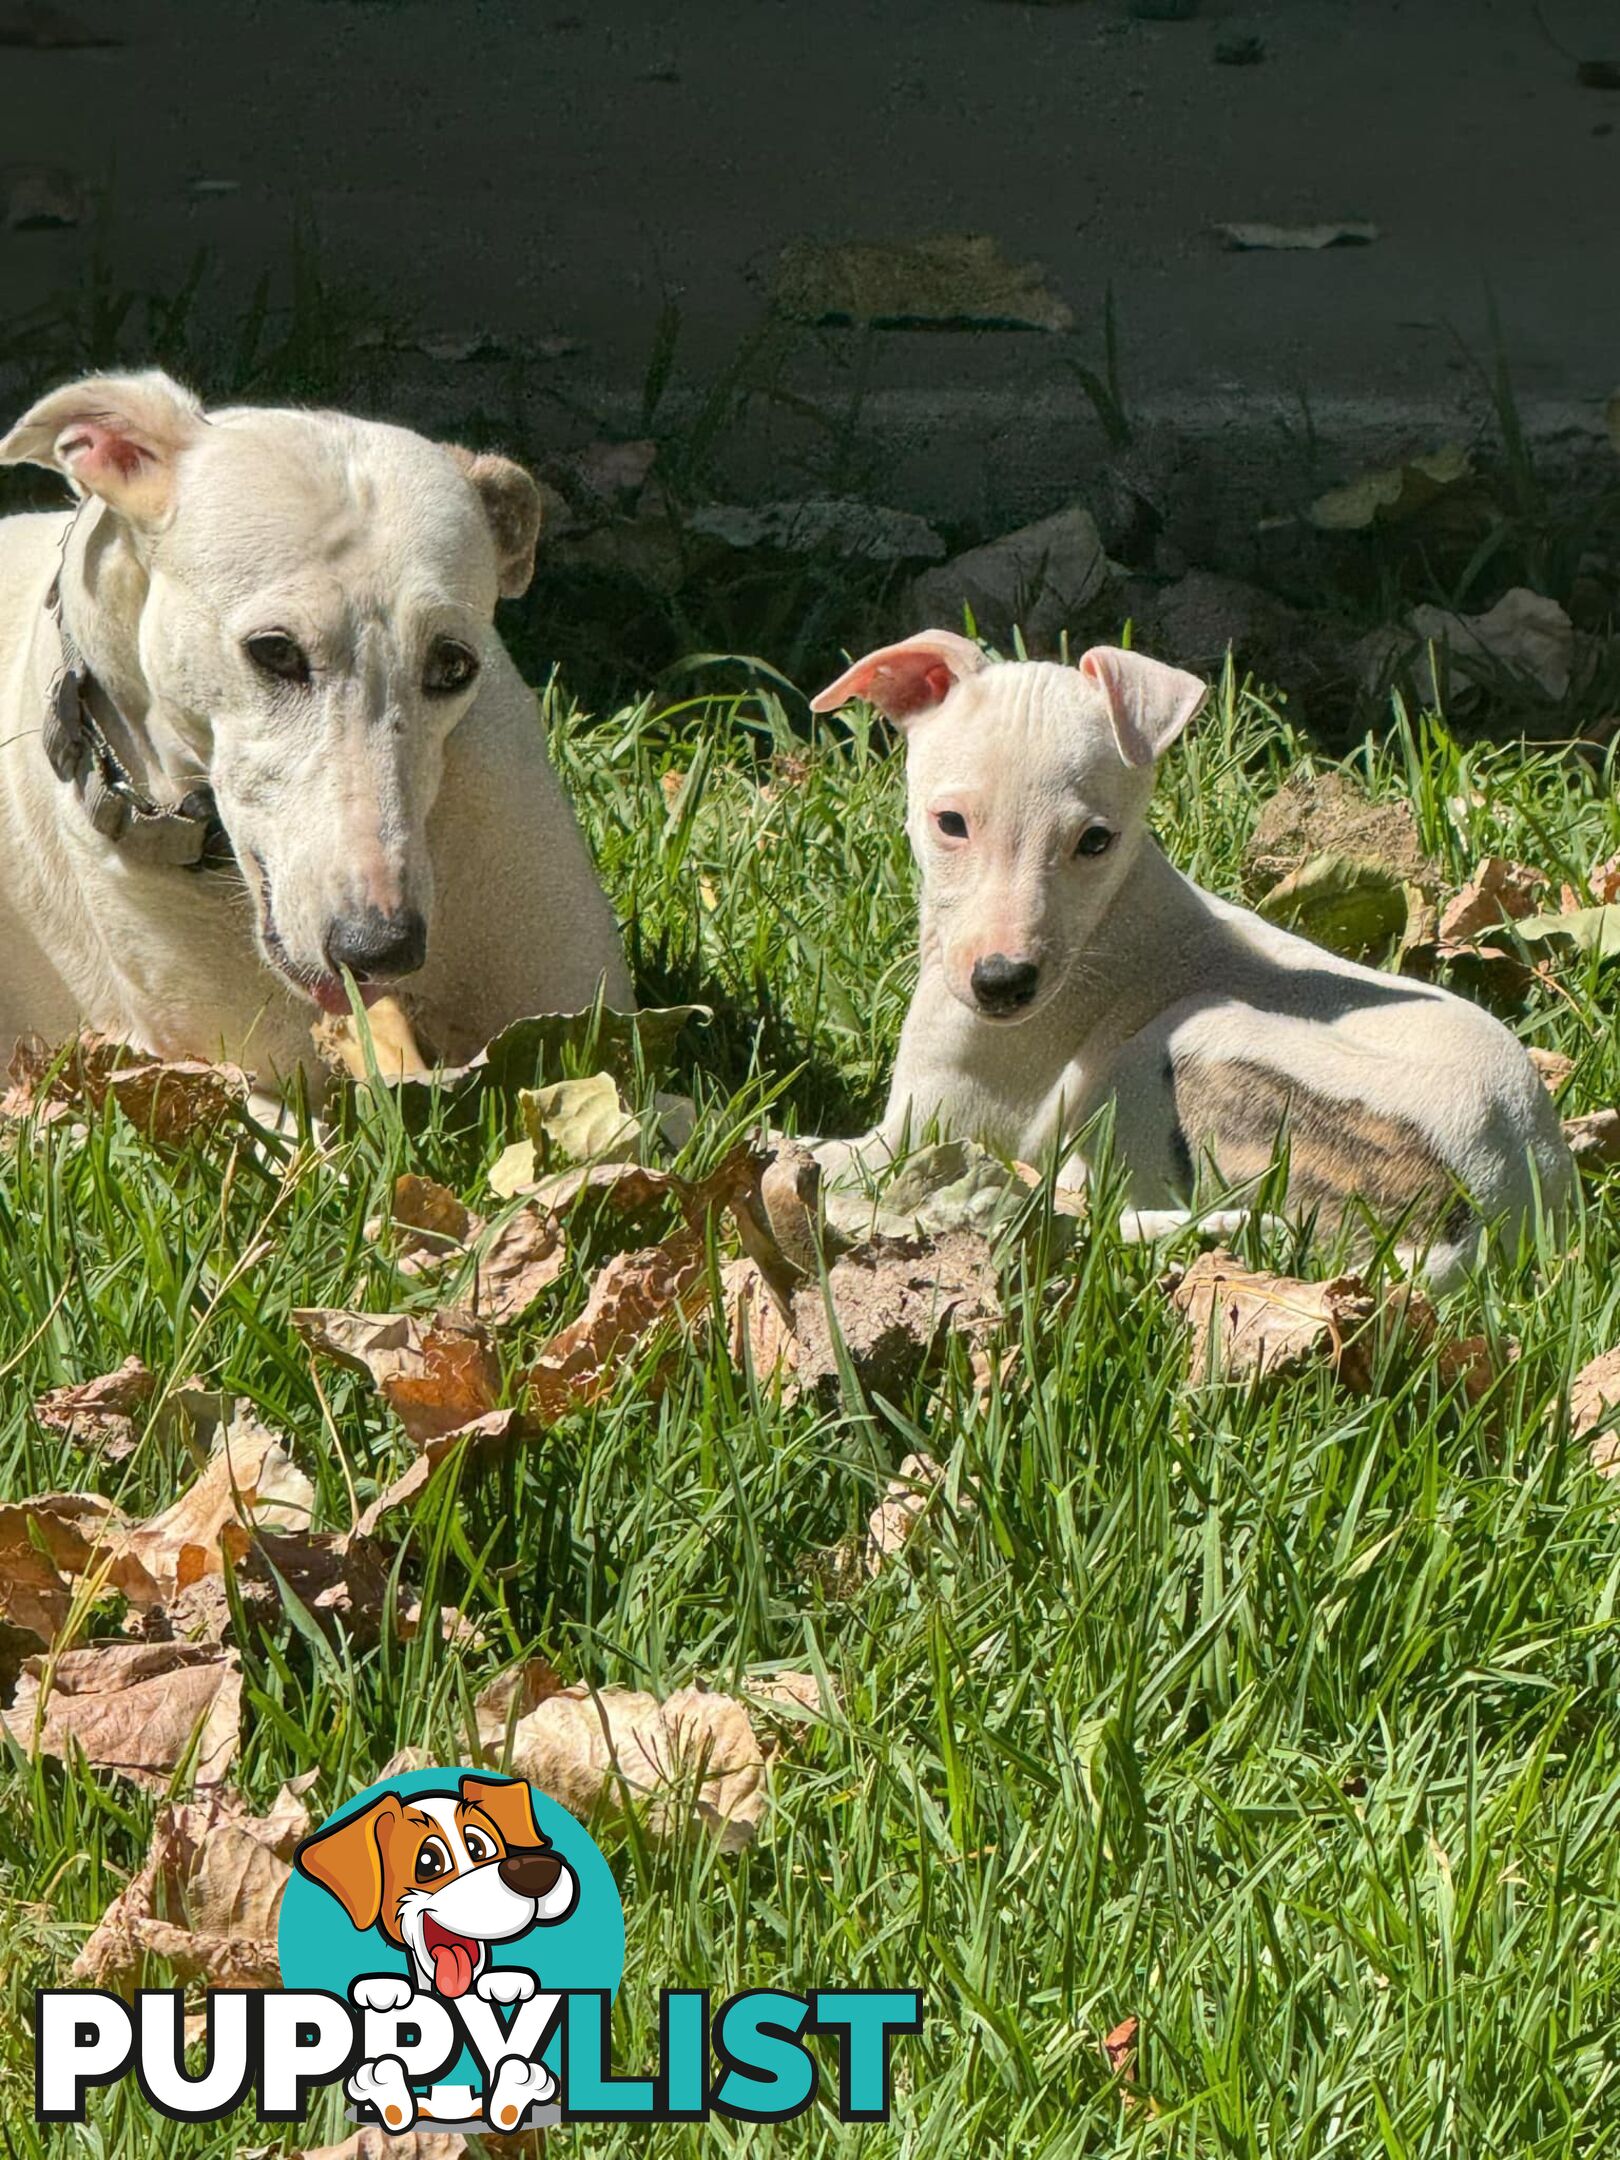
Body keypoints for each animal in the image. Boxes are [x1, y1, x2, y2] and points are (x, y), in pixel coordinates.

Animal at [816, 630, 1581, 1287]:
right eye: (950, 823)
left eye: (1095, 840)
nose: (1003, 984)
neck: (1113, 912)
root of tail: (1490, 1220)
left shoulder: (930, 1124)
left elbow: (829, 1156)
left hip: (1187, 1040)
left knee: (1110, 1202)